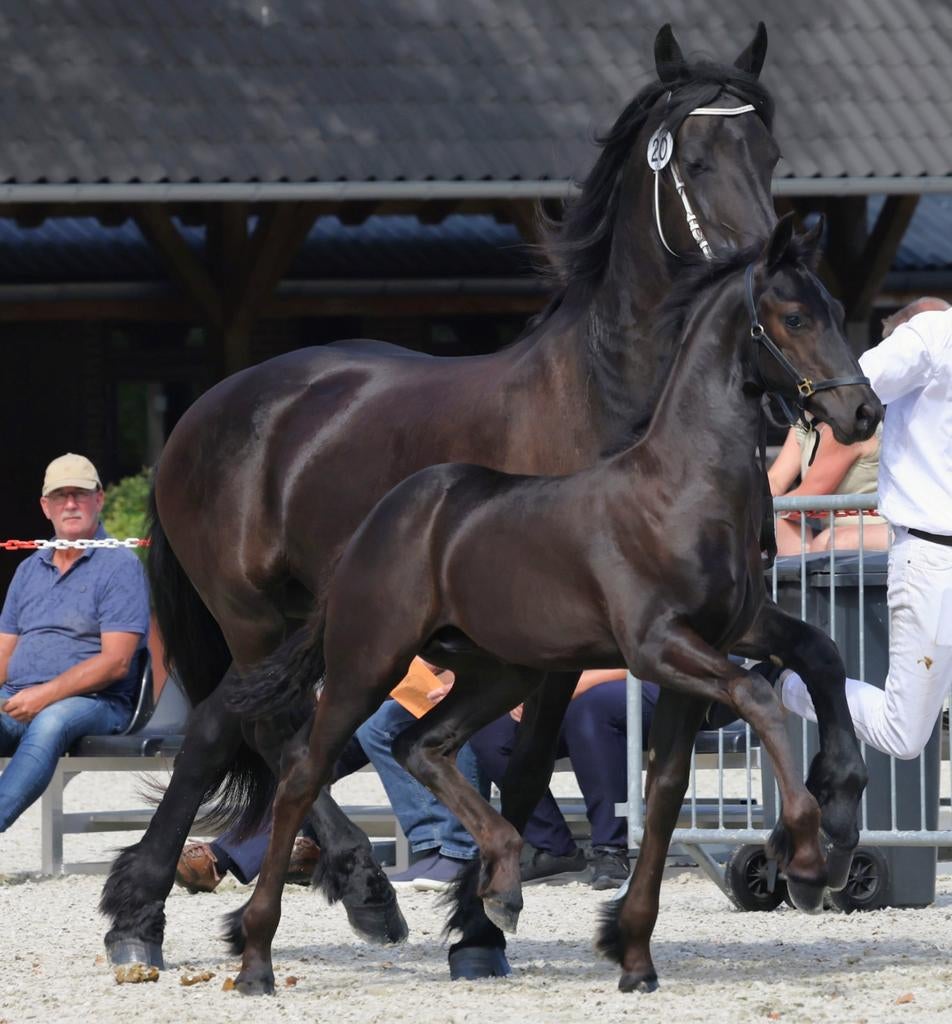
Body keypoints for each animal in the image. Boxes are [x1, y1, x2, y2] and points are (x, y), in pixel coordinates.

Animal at [100, 22, 783, 976]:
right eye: (692, 157)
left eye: (770, 150)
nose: (766, 267)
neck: (611, 403)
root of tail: (206, 411)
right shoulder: (559, 638)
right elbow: (519, 766)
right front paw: (481, 917)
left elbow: (527, 770)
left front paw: (483, 913)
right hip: (254, 613)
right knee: (265, 733)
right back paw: (200, 908)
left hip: (301, 617)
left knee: (234, 729)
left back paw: (280, 899)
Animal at [225, 213, 883, 995]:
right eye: (794, 316)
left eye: (838, 311)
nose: (864, 411)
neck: (681, 489)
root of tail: (378, 521)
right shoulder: (656, 646)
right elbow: (757, 696)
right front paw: (807, 858)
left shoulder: (720, 638)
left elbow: (794, 675)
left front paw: (637, 953)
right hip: (369, 660)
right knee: (303, 770)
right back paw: (258, 957)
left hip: (498, 670)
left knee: (424, 745)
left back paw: (501, 887)